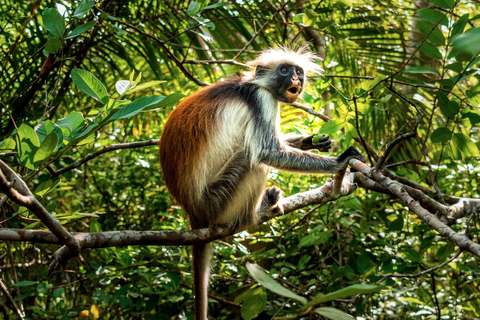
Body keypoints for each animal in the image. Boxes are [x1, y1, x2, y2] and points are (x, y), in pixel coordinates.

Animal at [159, 48, 366, 320]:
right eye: (285, 70)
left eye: (298, 72)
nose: (296, 80)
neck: (253, 84)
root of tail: (193, 211)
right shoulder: (260, 100)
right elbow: (267, 152)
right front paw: (339, 161)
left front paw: (313, 140)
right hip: (217, 201)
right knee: (253, 160)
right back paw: (257, 211)